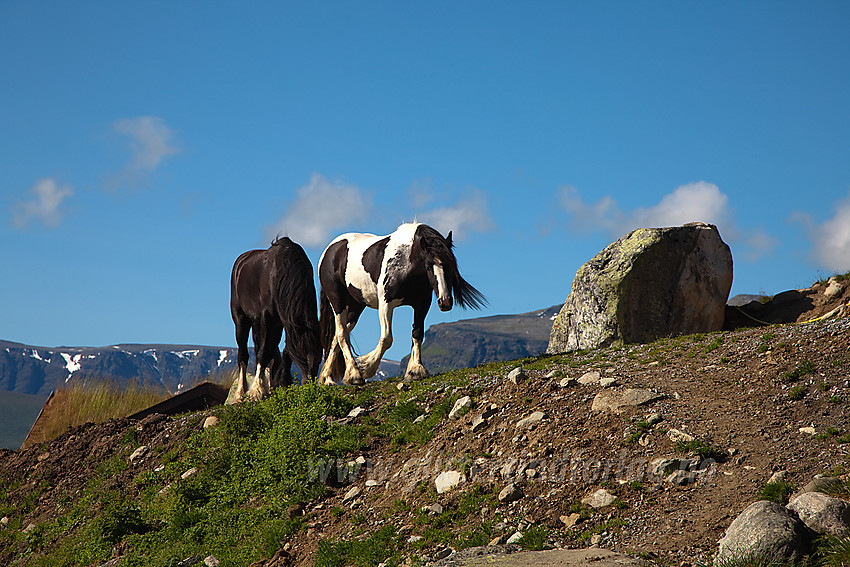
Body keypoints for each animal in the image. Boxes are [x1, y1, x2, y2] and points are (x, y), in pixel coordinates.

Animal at [227, 235, 322, 404]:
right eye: (303, 356)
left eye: (319, 358)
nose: (309, 387)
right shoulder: (268, 318)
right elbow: (264, 352)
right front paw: (256, 391)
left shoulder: (282, 322)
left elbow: (283, 350)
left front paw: (281, 384)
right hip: (241, 319)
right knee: (243, 354)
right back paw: (240, 394)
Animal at [316, 222, 484, 386]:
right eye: (429, 266)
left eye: (450, 264)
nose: (445, 301)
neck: (406, 261)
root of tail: (329, 250)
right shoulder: (386, 304)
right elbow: (387, 338)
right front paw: (366, 367)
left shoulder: (422, 304)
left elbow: (417, 334)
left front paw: (415, 371)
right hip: (337, 301)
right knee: (341, 333)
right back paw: (354, 374)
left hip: (356, 306)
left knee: (337, 336)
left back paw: (327, 377)